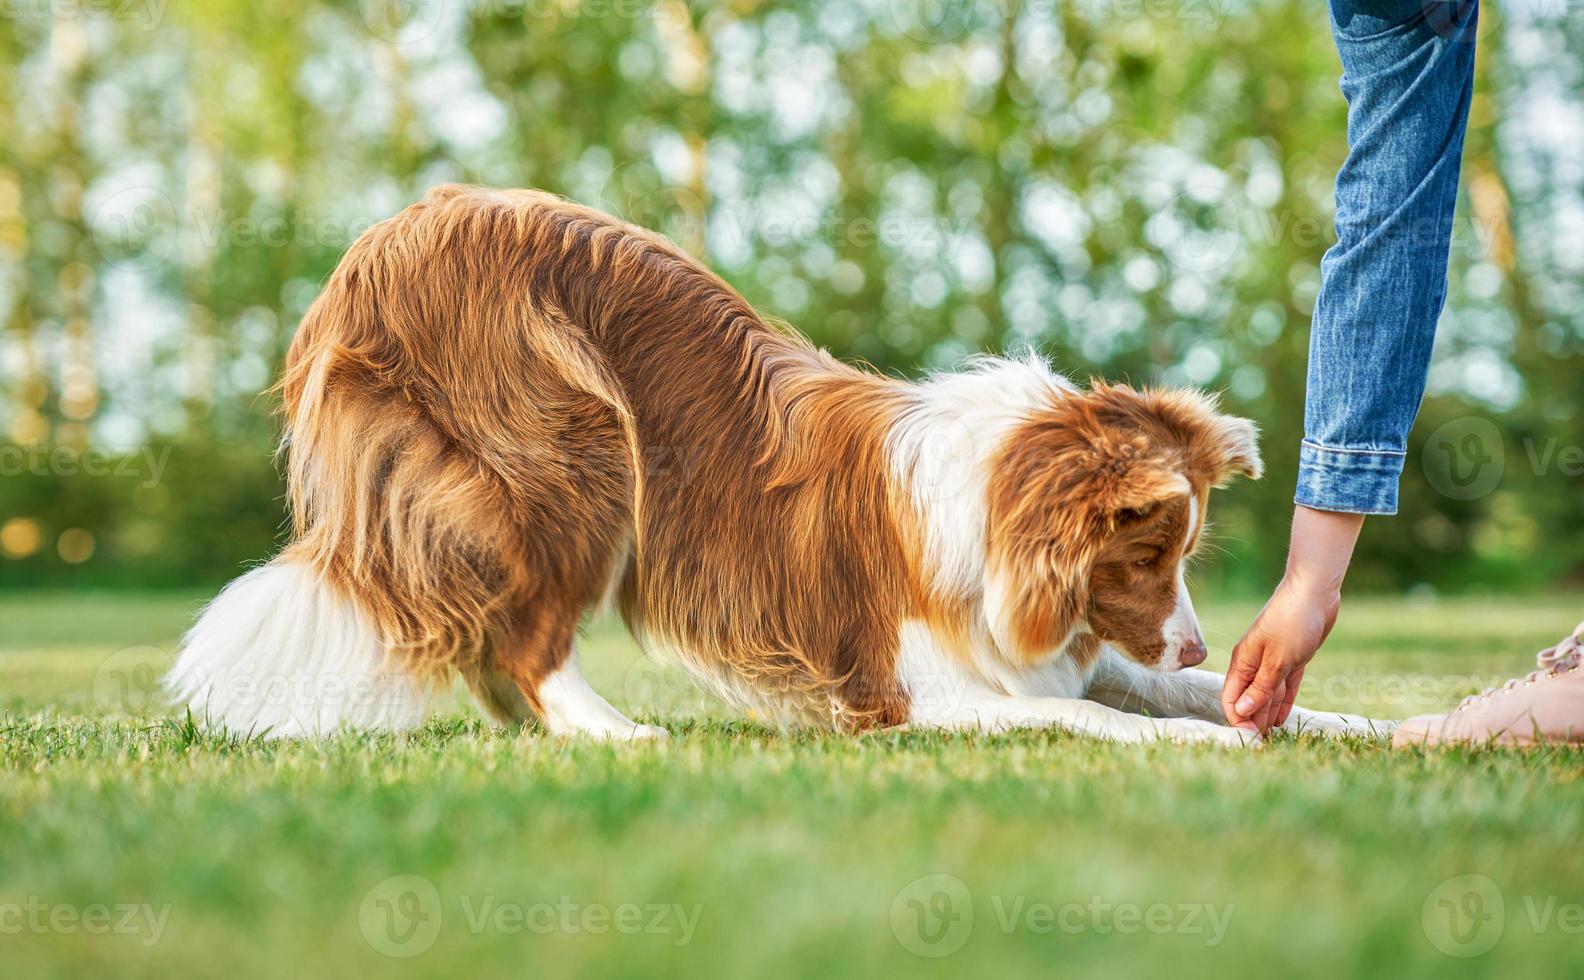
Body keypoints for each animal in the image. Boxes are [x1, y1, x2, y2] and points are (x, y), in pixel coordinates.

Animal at [170, 186, 1374, 744]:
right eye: (1150, 552)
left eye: (1180, 555)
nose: (1203, 635)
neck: (994, 511)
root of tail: (384, 241)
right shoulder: (919, 694)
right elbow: (1106, 719)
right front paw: (1214, 747)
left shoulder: (1062, 657)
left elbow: (1175, 694)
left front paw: (1342, 723)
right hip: (576, 446)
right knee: (527, 635)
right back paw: (612, 731)